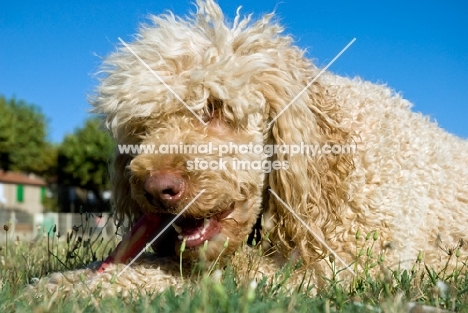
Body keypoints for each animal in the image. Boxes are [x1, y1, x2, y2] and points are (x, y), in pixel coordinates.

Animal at [33, 0, 468, 294]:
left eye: (214, 107)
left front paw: (84, 289)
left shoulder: (331, 270)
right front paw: (61, 281)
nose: (157, 188)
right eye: (143, 127)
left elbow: (204, 274)